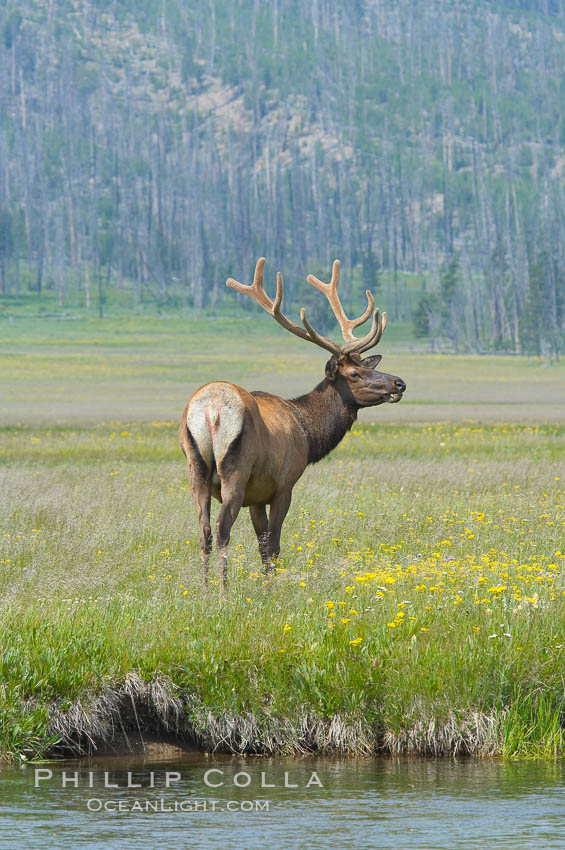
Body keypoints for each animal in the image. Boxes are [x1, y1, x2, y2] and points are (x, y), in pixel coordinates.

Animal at [178, 258, 404, 588]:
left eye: (366, 366)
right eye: (355, 374)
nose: (399, 383)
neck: (308, 435)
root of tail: (210, 409)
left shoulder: (257, 496)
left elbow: (261, 544)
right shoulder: (284, 484)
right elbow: (273, 544)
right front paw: (271, 590)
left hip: (196, 467)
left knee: (203, 530)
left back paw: (205, 590)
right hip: (235, 468)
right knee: (221, 528)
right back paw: (223, 591)